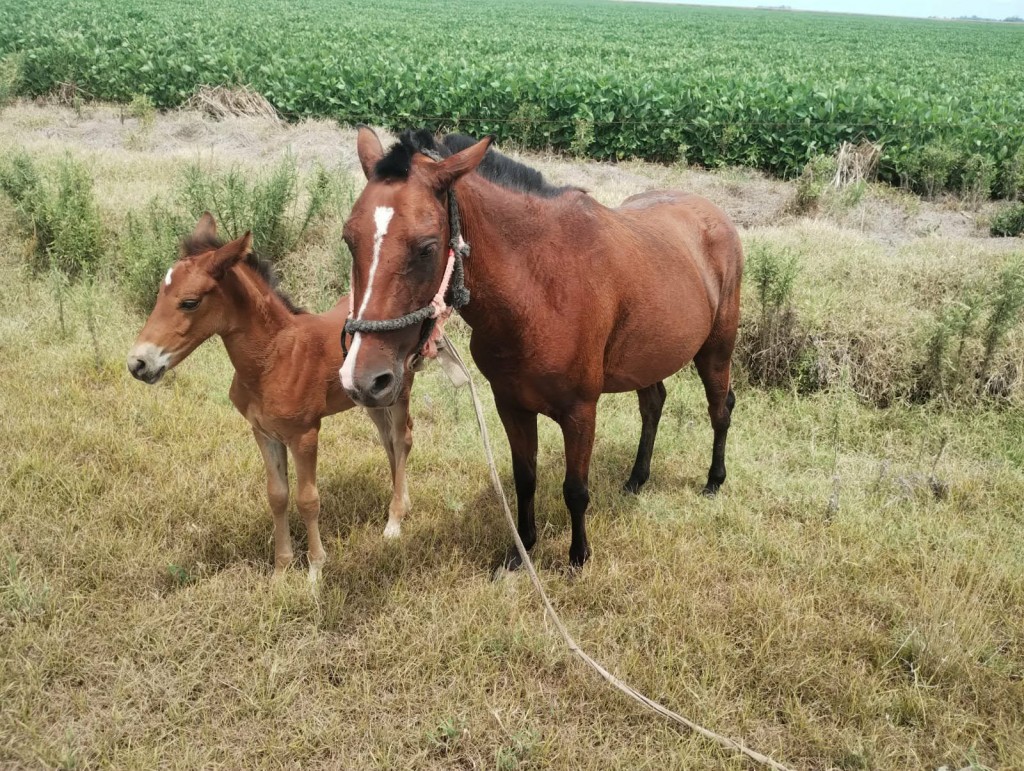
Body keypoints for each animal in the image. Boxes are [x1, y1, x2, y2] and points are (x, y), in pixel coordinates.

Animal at [127, 213, 415, 582]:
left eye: (190, 302)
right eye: (159, 294)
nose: (138, 363)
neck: (275, 358)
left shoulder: (305, 434)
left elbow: (308, 500)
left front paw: (315, 571)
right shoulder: (264, 432)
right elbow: (277, 495)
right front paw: (281, 570)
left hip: (399, 392)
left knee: (402, 439)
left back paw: (394, 522)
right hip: (371, 400)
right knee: (388, 442)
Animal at [339, 128, 743, 570]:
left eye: (427, 247)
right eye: (349, 239)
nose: (364, 379)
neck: (539, 289)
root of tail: (715, 214)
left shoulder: (581, 412)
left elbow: (575, 489)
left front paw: (578, 557)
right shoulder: (511, 405)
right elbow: (525, 478)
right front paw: (522, 551)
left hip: (716, 350)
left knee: (720, 409)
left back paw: (714, 481)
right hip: (647, 360)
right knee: (653, 404)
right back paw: (637, 479)